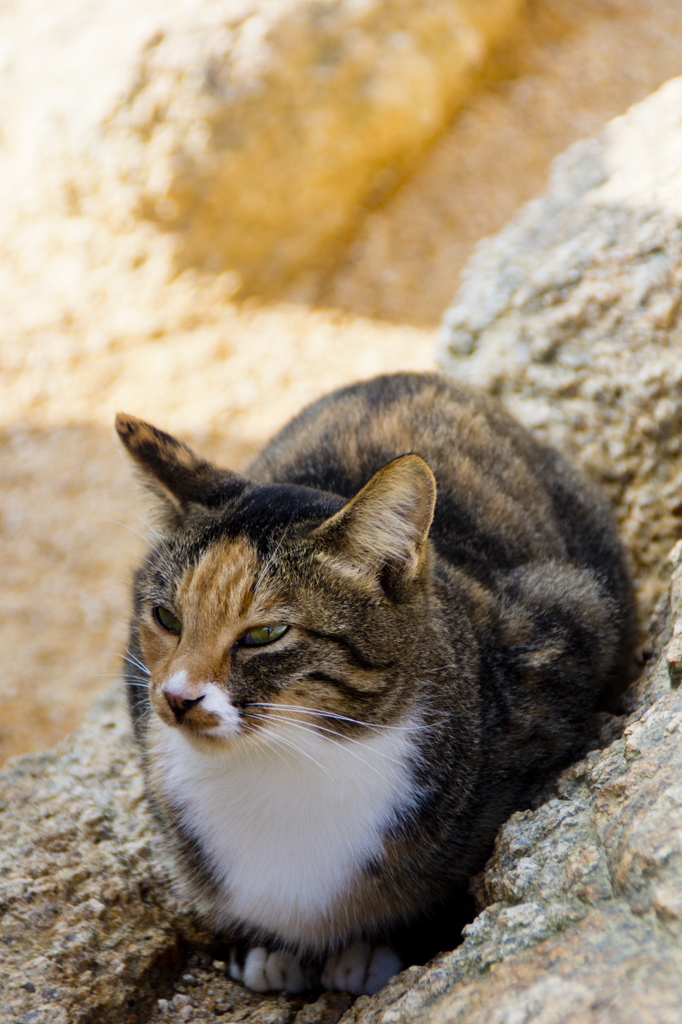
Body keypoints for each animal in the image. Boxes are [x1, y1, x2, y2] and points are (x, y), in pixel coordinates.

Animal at [115, 372, 630, 995]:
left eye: (265, 633)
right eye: (166, 617)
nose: (177, 697)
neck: (290, 760)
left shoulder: (567, 625)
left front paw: (379, 943)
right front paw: (265, 943)